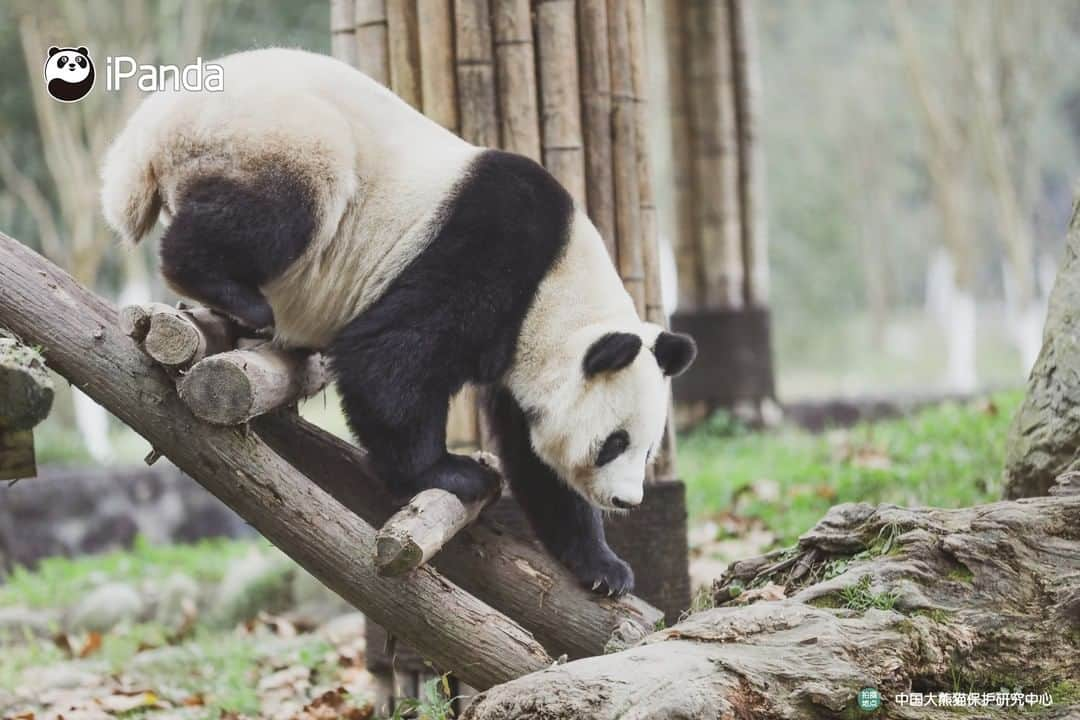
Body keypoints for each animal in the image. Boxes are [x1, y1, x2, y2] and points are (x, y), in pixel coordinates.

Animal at [99, 49, 691, 595]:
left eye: (646, 449)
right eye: (614, 441)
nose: (626, 499)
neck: (557, 287)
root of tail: (153, 124)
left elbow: (534, 457)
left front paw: (603, 567)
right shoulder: (487, 253)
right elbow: (388, 359)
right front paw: (452, 472)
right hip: (271, 135)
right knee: (276, 209)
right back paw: (238, 298)